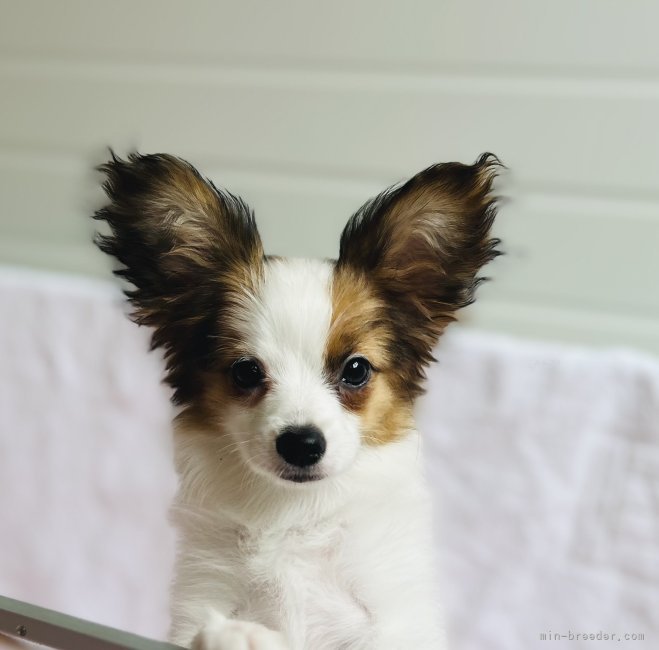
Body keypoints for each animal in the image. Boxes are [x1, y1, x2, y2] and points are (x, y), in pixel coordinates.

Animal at [94, 151, 500, 648]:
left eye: (356, 369)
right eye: (246, 371)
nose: (302, 444)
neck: (296, 518)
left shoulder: (398, 620)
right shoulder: (201, 598)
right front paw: (237, 636)